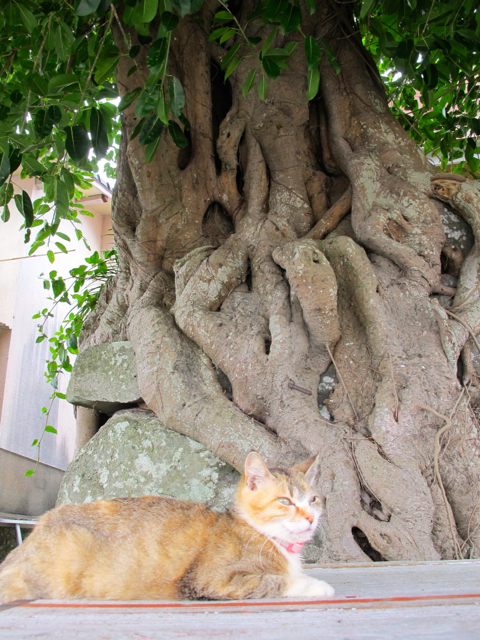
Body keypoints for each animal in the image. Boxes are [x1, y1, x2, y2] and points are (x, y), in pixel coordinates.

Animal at [0, 452, 335, 602]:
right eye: (285, 501)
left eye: (313, 499)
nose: (310, 518)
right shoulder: (212, 581)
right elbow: (275, 581)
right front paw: (314, 585)